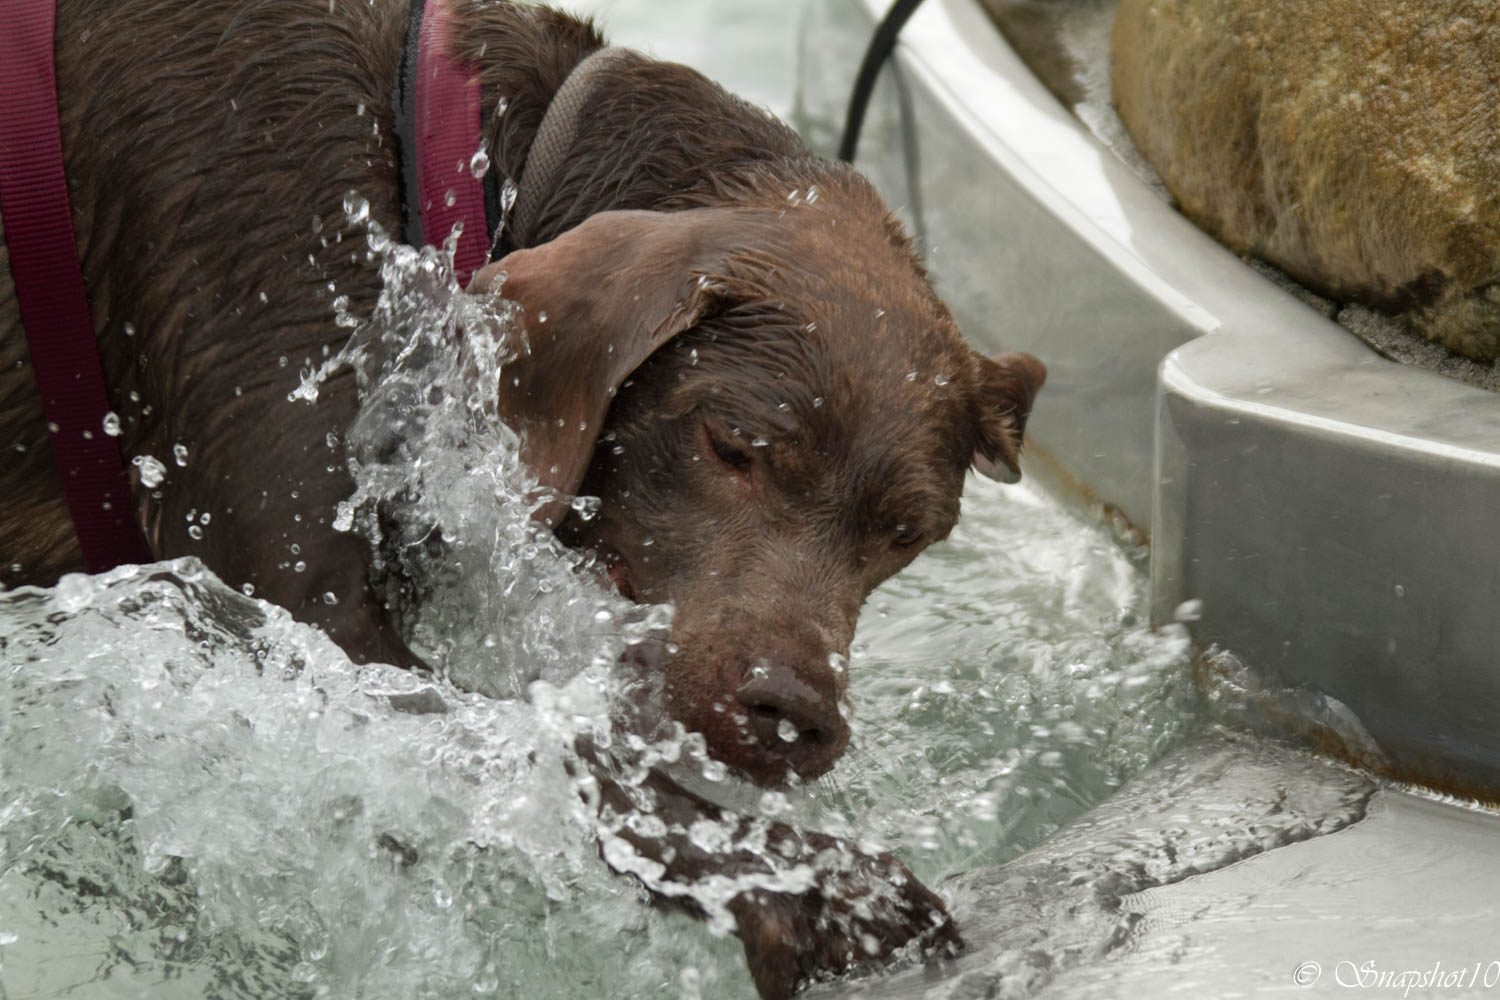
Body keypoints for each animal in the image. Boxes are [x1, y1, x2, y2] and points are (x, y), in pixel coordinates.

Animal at [2, 0, 1044, 989]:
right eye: (732, 446)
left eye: (908, 532)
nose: (794, 713)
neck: (437, 176)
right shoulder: (294, 594)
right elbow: (544, 742)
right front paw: (813, 888)